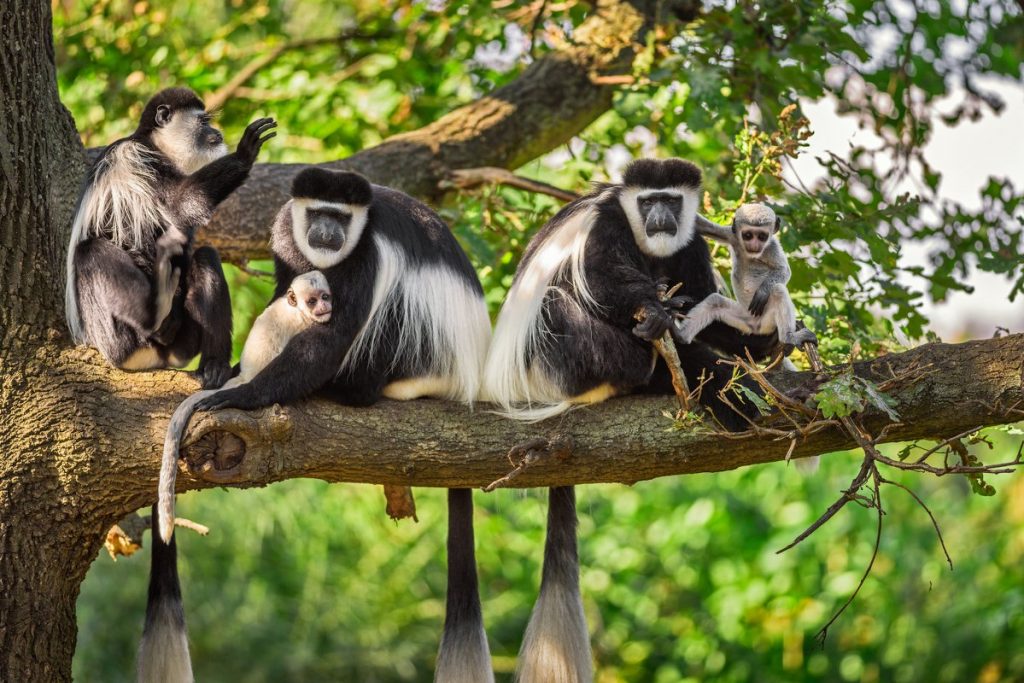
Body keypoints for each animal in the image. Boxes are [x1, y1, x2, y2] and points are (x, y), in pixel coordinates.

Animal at [65, 87, 277, 389]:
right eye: (203, 121)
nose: (217, 133)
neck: (155, 145)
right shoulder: (138, 158)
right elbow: (180, 203)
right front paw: (245, 153)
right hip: (113, 335)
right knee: (91, 251)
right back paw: (155, 319)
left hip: (183, 342)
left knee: (205, 257)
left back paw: (214, 367)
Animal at [482, 158, 781, 682]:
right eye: (647, 202)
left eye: (672, 200)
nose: (660, 217)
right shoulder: (606, 225)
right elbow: (603, 282)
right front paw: (657, 311)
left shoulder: (690, 242)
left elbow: (702, 298)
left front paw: (753, 339)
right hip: (555, 361)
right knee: (561, 303)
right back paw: (655, 363)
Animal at [677, 203, 818, 349]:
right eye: (748, 235)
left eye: (762, 236)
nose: (755, 245)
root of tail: (756, 327)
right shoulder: (732, 235)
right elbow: (702, 225)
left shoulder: (772, 247)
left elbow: (783, 270)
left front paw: (762, 292)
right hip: (744, 319)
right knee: (715, 302)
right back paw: (680, 335)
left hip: (767, 319)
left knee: (778, 290)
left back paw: (789, 337)